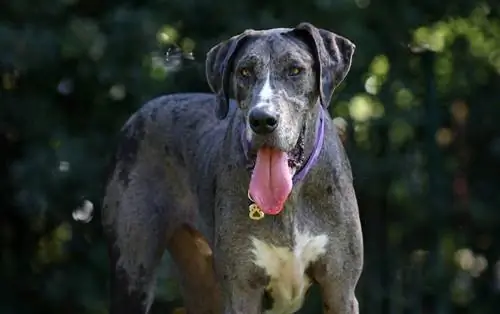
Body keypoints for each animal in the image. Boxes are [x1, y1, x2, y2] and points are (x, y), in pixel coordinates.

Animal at [101, 22, 364, 314]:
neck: (290, 197)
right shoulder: (242, 292)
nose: (262, 120)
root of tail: (139, 114)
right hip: (133, 274)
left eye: (295, 70)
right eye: (245, 71)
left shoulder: (340, 290)